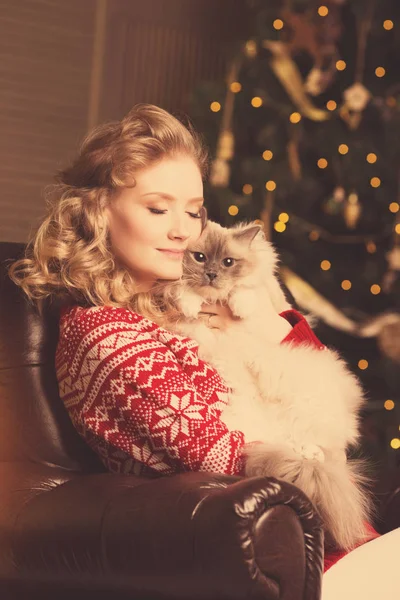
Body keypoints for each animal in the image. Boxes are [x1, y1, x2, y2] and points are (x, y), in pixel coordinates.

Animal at [162, 219, 372, 548]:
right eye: (199, 257)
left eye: (228, 262)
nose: (212, 275)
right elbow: (180, 288)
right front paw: (190, 304)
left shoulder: (266, 291)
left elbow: (248, 289)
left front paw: (239, 307)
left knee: (312, 441)